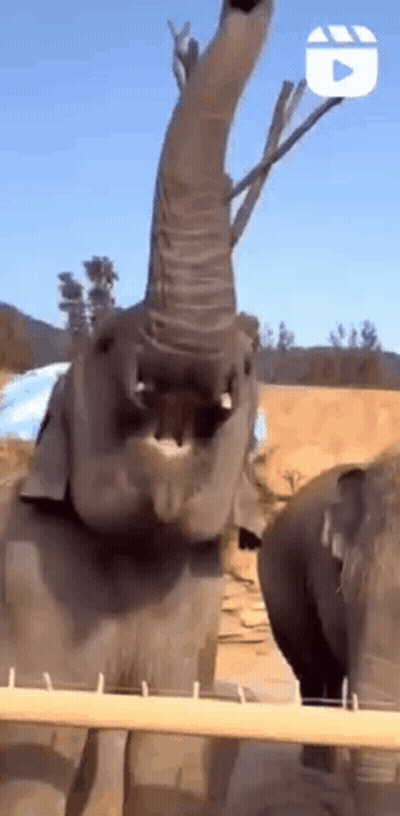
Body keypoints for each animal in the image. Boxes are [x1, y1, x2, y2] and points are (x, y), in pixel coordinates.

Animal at [0, 0, 272, 814]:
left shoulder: (197, 604)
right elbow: (42, 736)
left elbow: (170, 739)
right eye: (102, 342)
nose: (237, 6)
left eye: (253, 360)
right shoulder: (31, 576)